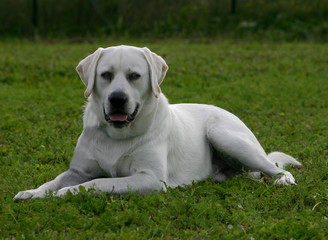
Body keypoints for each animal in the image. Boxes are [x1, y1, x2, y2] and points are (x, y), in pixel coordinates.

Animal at [15, 45, 302, 201]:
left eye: (134, 76)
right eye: (106, 75)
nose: (117, 99)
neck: (117, 135)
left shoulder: (150, 179)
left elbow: (97, 183)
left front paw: (68, 193)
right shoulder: (77, 171)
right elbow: (53, 181)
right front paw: (33, 192)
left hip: (224, 135)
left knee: (277, 169)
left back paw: (282, 181)